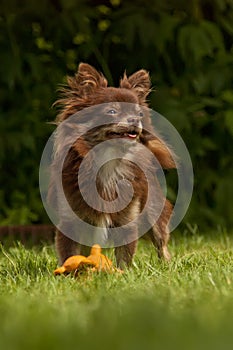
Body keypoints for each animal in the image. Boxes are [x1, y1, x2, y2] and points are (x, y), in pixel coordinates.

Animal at [49, 63, 177, 268]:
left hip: (153, 211)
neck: (109, 165)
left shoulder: (127, 222)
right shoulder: (69, 223)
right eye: (111, 111)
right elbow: (69, 255)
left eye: (139, 113)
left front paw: (123, 273)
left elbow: (124, 256)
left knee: (161, 242)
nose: (135, 119)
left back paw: (166, 265)